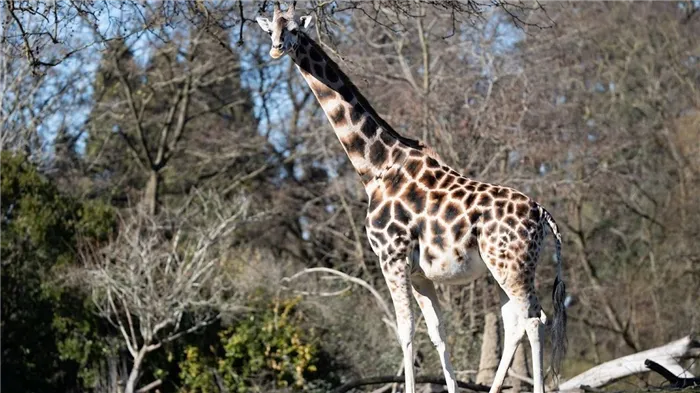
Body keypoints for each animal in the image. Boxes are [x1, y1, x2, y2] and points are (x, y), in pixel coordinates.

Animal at [258, 2, 568, 388]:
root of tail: (542, 215)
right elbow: (438, 334)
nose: (276, 49)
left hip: (512, 265)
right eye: (271, 30)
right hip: (505, 268)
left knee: (534, 320)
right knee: (514, 323)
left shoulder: (391, 256)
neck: (376, 167)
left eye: (295, 30)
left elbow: (404, 331)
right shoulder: (420, 272)